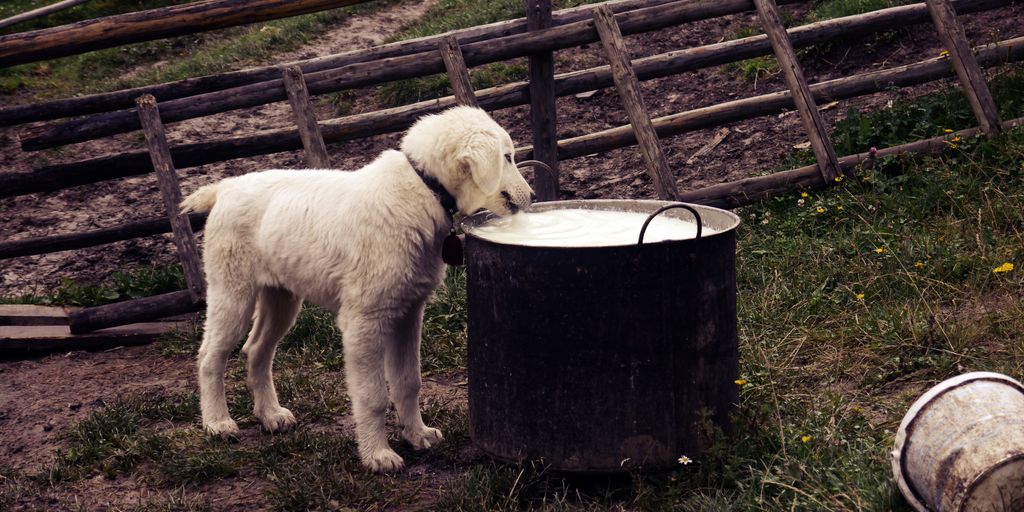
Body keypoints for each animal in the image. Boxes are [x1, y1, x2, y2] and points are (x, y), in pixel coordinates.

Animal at [181, 105, 536, 468]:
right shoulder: (364, 320)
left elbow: (408, 381)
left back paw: (270, 416)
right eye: (507, 157)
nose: (533, 197)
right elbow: (373, 395)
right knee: (211, 355)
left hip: (281, 297)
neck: (423, 188)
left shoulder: (409, 312)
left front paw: (417, 435)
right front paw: (377, 454)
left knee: (256, 350)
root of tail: (226, 187)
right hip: (232, 290)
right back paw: (218, 422)